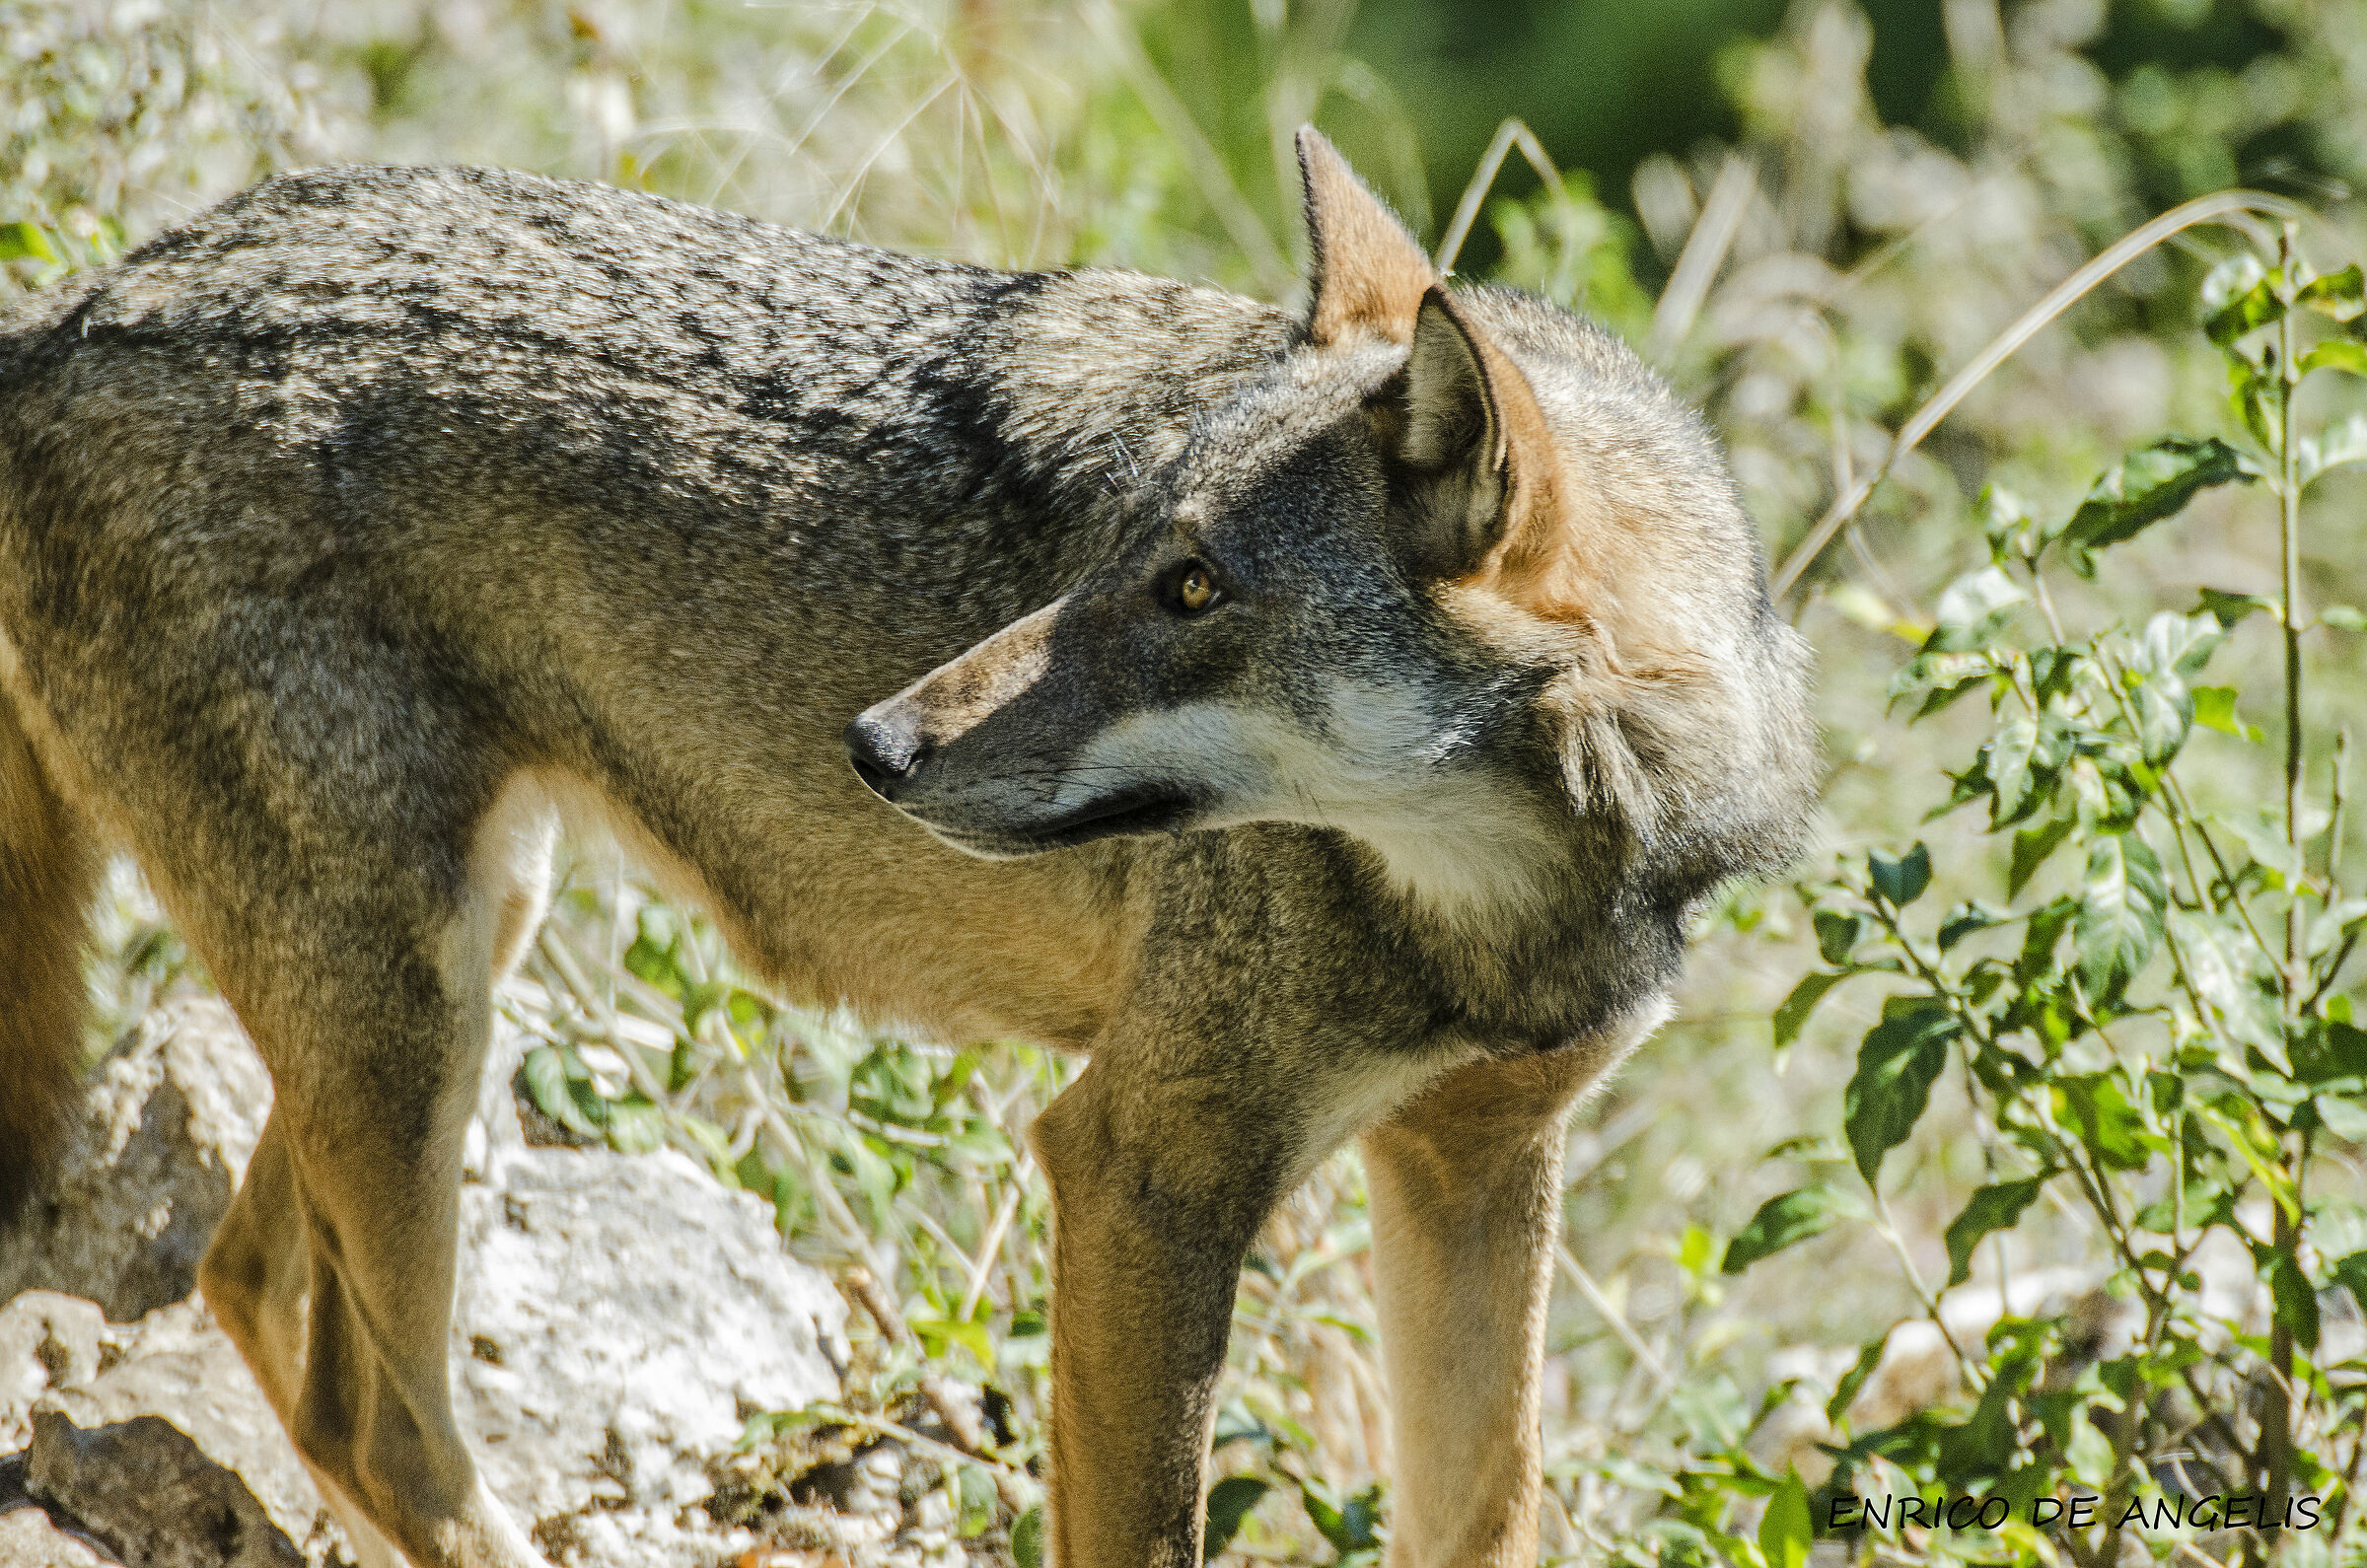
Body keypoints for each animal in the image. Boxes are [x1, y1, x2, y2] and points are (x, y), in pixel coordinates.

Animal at [0, 130, 1815, 1566]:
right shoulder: (1139, 1169)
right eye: (1116, 554)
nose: (876, 747)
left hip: (436, 984)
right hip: (414, 1018)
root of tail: (68, 307)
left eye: (1193, 590)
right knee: (379, 1417)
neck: (1495, 915)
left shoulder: (1477, 1167)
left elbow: (1484, 1516)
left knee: (262, 1304)